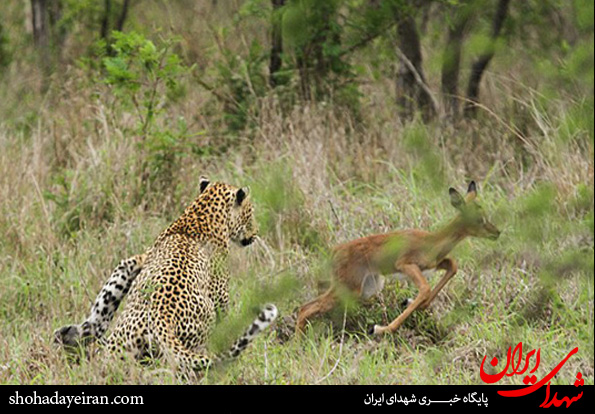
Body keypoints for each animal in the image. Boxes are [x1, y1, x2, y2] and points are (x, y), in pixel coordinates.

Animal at [54, 176, 278, 370]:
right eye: (251, 212)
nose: (256, 233)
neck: (202, 213)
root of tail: (163, 319)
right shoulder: (219, 293)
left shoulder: (135, 262)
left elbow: (108, 296)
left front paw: (79, 332)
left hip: (123, 350)